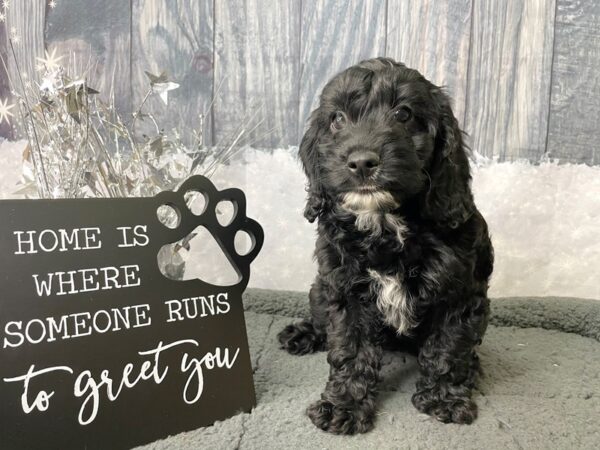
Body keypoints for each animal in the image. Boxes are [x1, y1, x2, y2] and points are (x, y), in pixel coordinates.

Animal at [276, 58, 492, 434]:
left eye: (403, 114)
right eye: (338, 119)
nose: (362, 161)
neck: (384, 221)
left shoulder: (461, 292)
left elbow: (449, 346)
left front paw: (444, 399)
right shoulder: (344, 289)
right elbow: (349, 349)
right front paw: (343, 406)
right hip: (319, 288)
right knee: (320, 316)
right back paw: (303, 333)